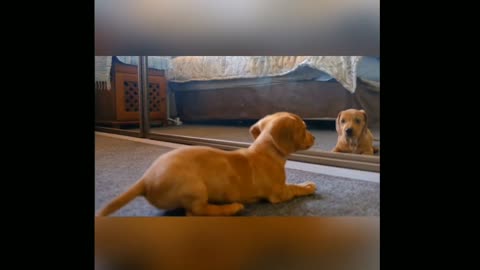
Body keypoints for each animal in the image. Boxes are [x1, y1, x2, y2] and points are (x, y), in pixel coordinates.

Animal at [95, 112, 316, 217]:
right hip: (195, 188)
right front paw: (307, 186)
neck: (265, 150)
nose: (315, 138)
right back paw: (231, 208)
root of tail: (145, 180)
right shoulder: (279, 193)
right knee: (196, 212)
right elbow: (294, 188)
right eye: (304, 128)